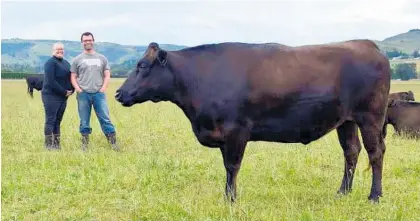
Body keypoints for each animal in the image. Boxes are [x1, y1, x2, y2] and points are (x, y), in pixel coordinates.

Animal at [114, 40, 390, 203]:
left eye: (142, 66)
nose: (118, 93)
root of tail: (366, 44)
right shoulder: (223, 134)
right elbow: (227, 167)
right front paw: (228, 196)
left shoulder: (236, 131)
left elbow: (232, 166)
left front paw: (230, 199)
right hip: (346, 121)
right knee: (351, 152)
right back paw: (343, 192)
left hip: (370, 117)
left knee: (375, 153)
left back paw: (374, 196)